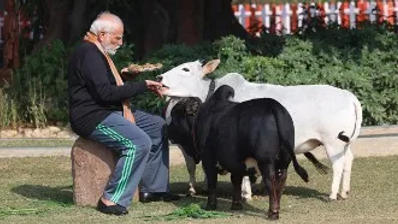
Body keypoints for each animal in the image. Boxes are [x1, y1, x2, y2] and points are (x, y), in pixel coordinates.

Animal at [159, 59, 364, 200]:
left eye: (185, 69)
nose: (159, 77)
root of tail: (348, 95)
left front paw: (246, 193)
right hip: (343, 143)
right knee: (348, 160)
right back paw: (344, 192)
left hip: (332, 142)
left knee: (338, 164)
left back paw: (332, 194)